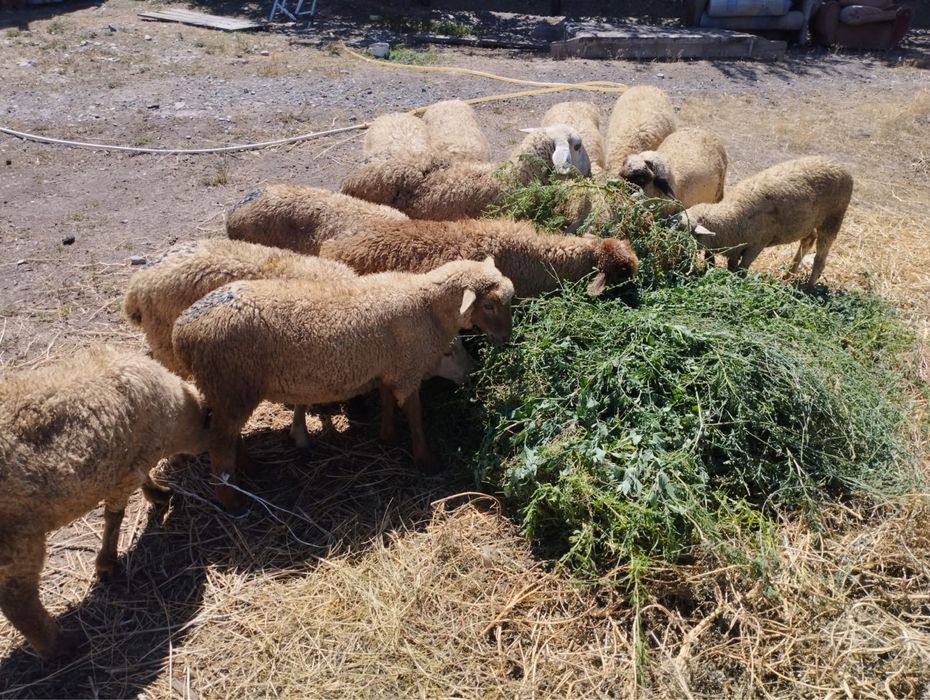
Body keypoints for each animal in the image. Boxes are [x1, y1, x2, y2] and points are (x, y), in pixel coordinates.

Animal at [0, 346, 210, 659]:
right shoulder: (130, 466)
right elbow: (115, 516)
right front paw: (108, 563)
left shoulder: (132, 460)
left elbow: (141, 483)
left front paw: (159, 493)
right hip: (19, 538)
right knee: (19, 602)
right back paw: (61, 646)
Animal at [172, 258, 514, 513]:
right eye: (489, 306)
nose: (506, 339)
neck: (426, 306)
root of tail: (182, 332)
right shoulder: (407, 369)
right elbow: (415, 416)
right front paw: (426, 460)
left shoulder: (389, 366)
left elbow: (387, 401)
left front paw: (387, 436)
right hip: (233, 383)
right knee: (219, 442)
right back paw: (233, 501)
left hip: (226, 389)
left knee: (228, 434)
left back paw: (251, 468)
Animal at [679, 156, 853, 288]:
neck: (731, 217)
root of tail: (840, 167)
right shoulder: (736, 245)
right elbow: (733, 266)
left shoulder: (757, 244)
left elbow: (742, 269)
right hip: (809, 222)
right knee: (808, 240)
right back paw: (787, 275)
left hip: (833, 218)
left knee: (820, 257)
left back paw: (808, 288)